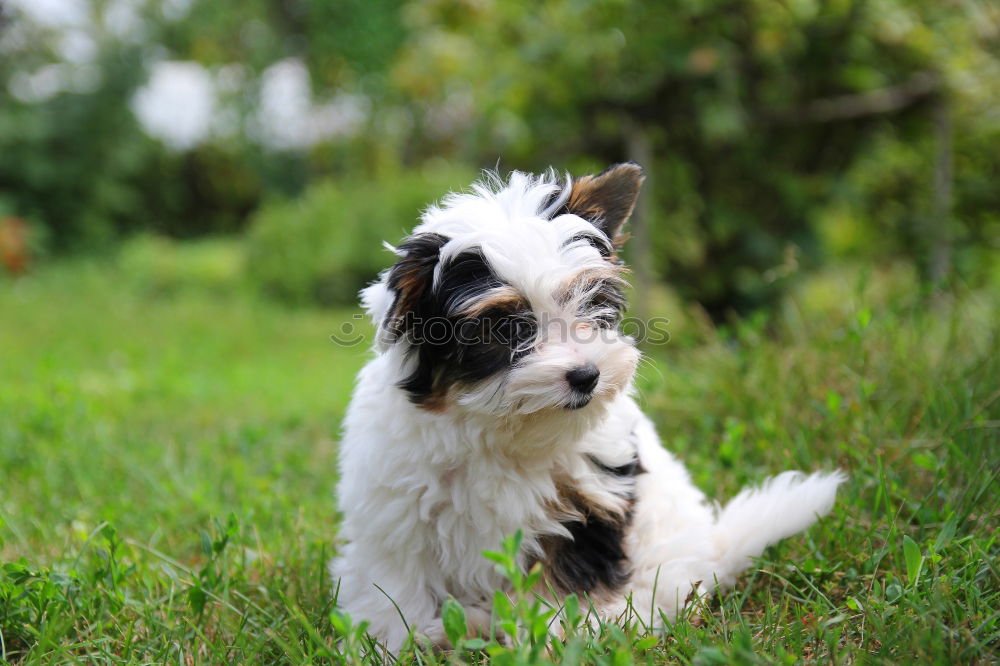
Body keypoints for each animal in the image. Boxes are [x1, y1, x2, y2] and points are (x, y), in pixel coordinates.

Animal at [330, 165, 844, 648]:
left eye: (590, 303)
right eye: (506, 328)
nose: (586, 375)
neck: (501, 429)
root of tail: (712, 549)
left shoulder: (590, 497)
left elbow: (564, 574)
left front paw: (558, 634)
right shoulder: (397, 507)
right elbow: (398, 579)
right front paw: (397, 639)